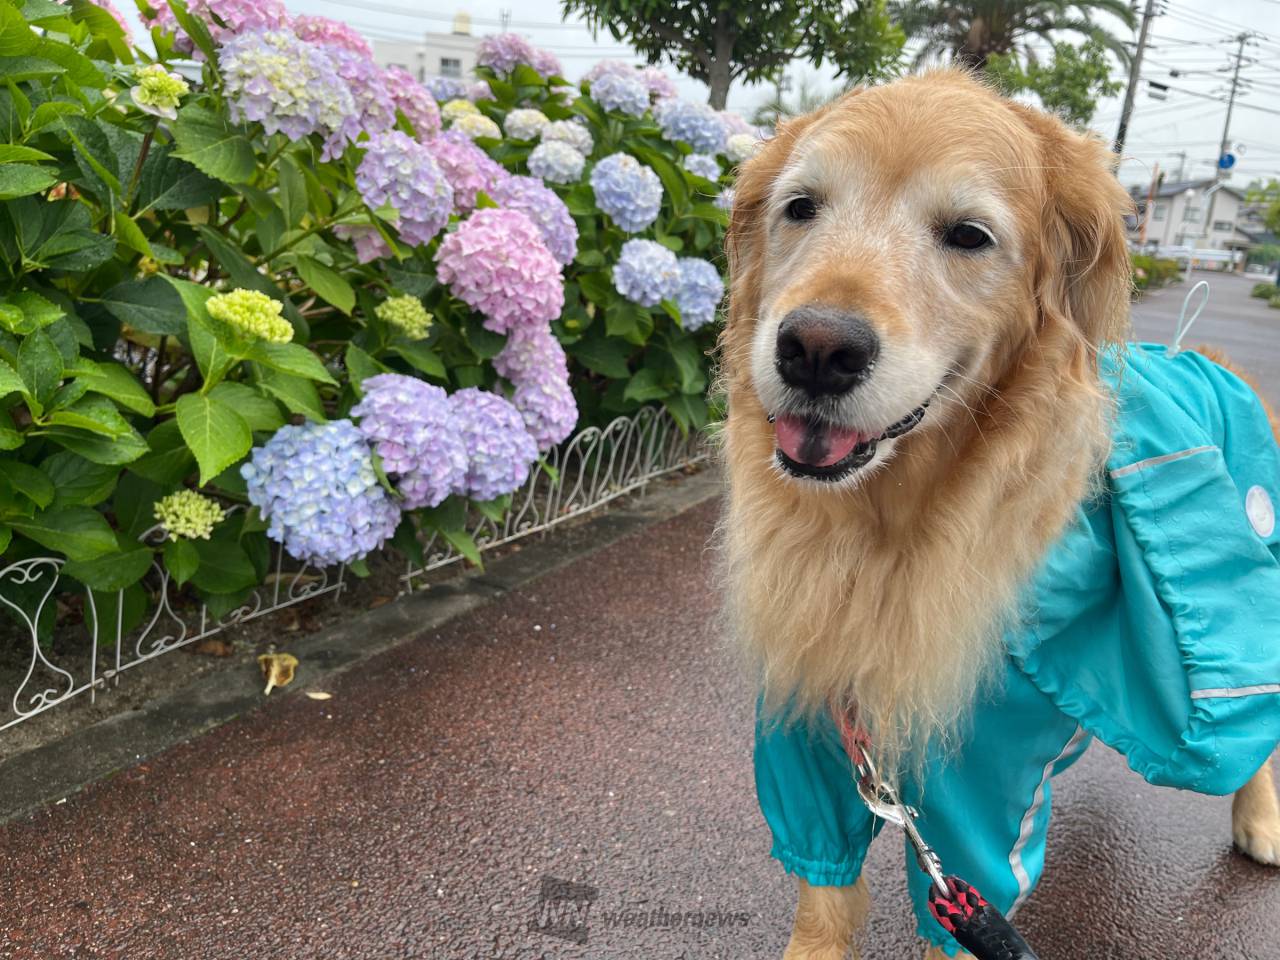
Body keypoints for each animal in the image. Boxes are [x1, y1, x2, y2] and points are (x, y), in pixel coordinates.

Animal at [721, 73, 1280, 960]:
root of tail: (1211, 356)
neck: (886, 532)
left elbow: (962, 898)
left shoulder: (983, 775)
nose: (814, 349)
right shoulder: (812, 715)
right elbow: (823, 894)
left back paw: (1261, 818)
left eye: (969, 235)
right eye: (801, 207)